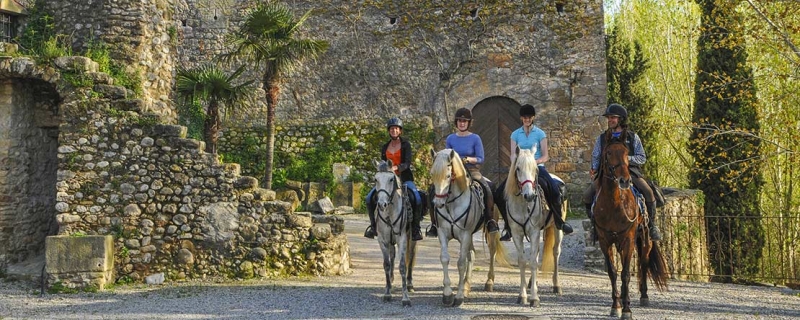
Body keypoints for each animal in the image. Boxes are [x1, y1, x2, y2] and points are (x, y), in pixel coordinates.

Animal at [372, 159, 418, 306]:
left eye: (391, 179)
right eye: (376, 179)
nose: (382, 204)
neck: (389, 213)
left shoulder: (402, 238)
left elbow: (403, 265)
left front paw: (405, 298)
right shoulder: (383, 240)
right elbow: (386, 264)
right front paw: (387, 293)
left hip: (412, 239)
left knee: (411, 257)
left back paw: (410, 284)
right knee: (392, 256)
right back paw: (391, 281)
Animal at [428, 149, 504, 306]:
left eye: (448, 175)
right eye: (432, 174)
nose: (438, 203)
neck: (452, 203)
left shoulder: (465, 235)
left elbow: (461, 263)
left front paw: (458, 297)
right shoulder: (443, 234)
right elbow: (445, 258)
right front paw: (447, 294)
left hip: (488, 232)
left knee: (492, 252)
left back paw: (489, 282)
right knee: (472, 254)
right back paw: (467, 286)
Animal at [504, 149, 564, 306]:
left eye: (535, 169)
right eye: (518, 168)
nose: (530, 196)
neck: (522, 204)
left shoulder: (534, 232)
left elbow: (533, 262)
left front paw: (534, 298)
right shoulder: (517, 233)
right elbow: (523, 261)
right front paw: (523, 295)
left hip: (557, 228)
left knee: (556, 252)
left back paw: (557, 285)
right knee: (535, 254)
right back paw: (532, 283)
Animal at [592, 136, 668, 318]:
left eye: (627, 153)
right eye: (608, 153)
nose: (624, 180)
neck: (613, 204)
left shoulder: (628, 239)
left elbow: (626, 274)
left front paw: (627, 309)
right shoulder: (605, 241)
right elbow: (613, 272)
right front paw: (616, 306)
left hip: (644, 239)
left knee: (644, 263)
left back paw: (644, 296)